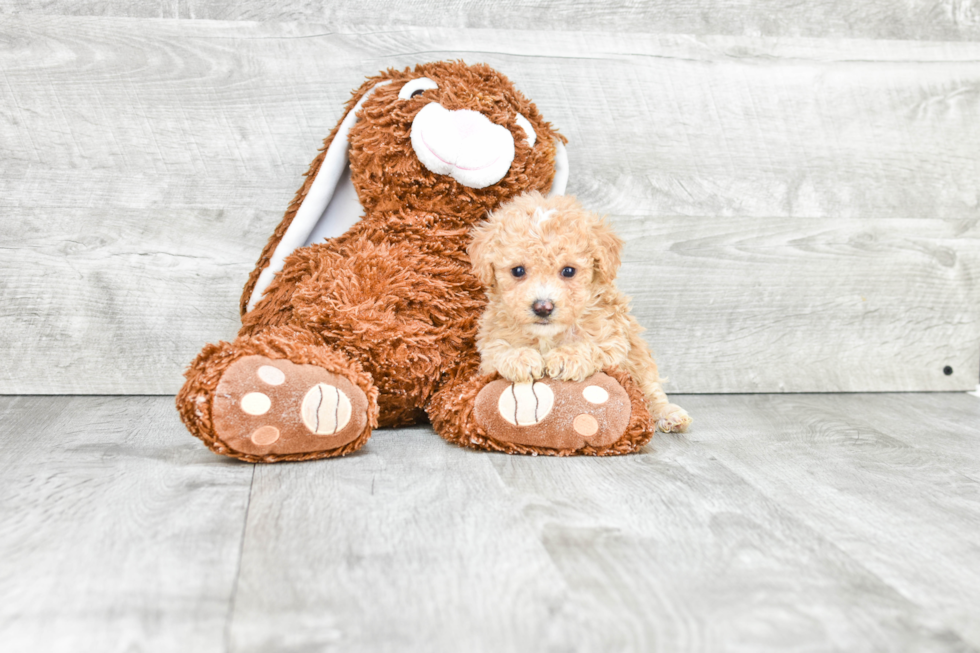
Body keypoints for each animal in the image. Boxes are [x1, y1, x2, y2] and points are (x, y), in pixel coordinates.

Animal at [466, 192, 688, 432]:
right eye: (517, 271)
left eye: (569, 271)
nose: (543, 307)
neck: (548, 336)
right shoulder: (490, 345)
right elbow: (498, 349)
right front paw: (520, 358)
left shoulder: (613, 340)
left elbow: (592, 346)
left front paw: (567, 357)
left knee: (652, 390)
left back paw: (669, 414)